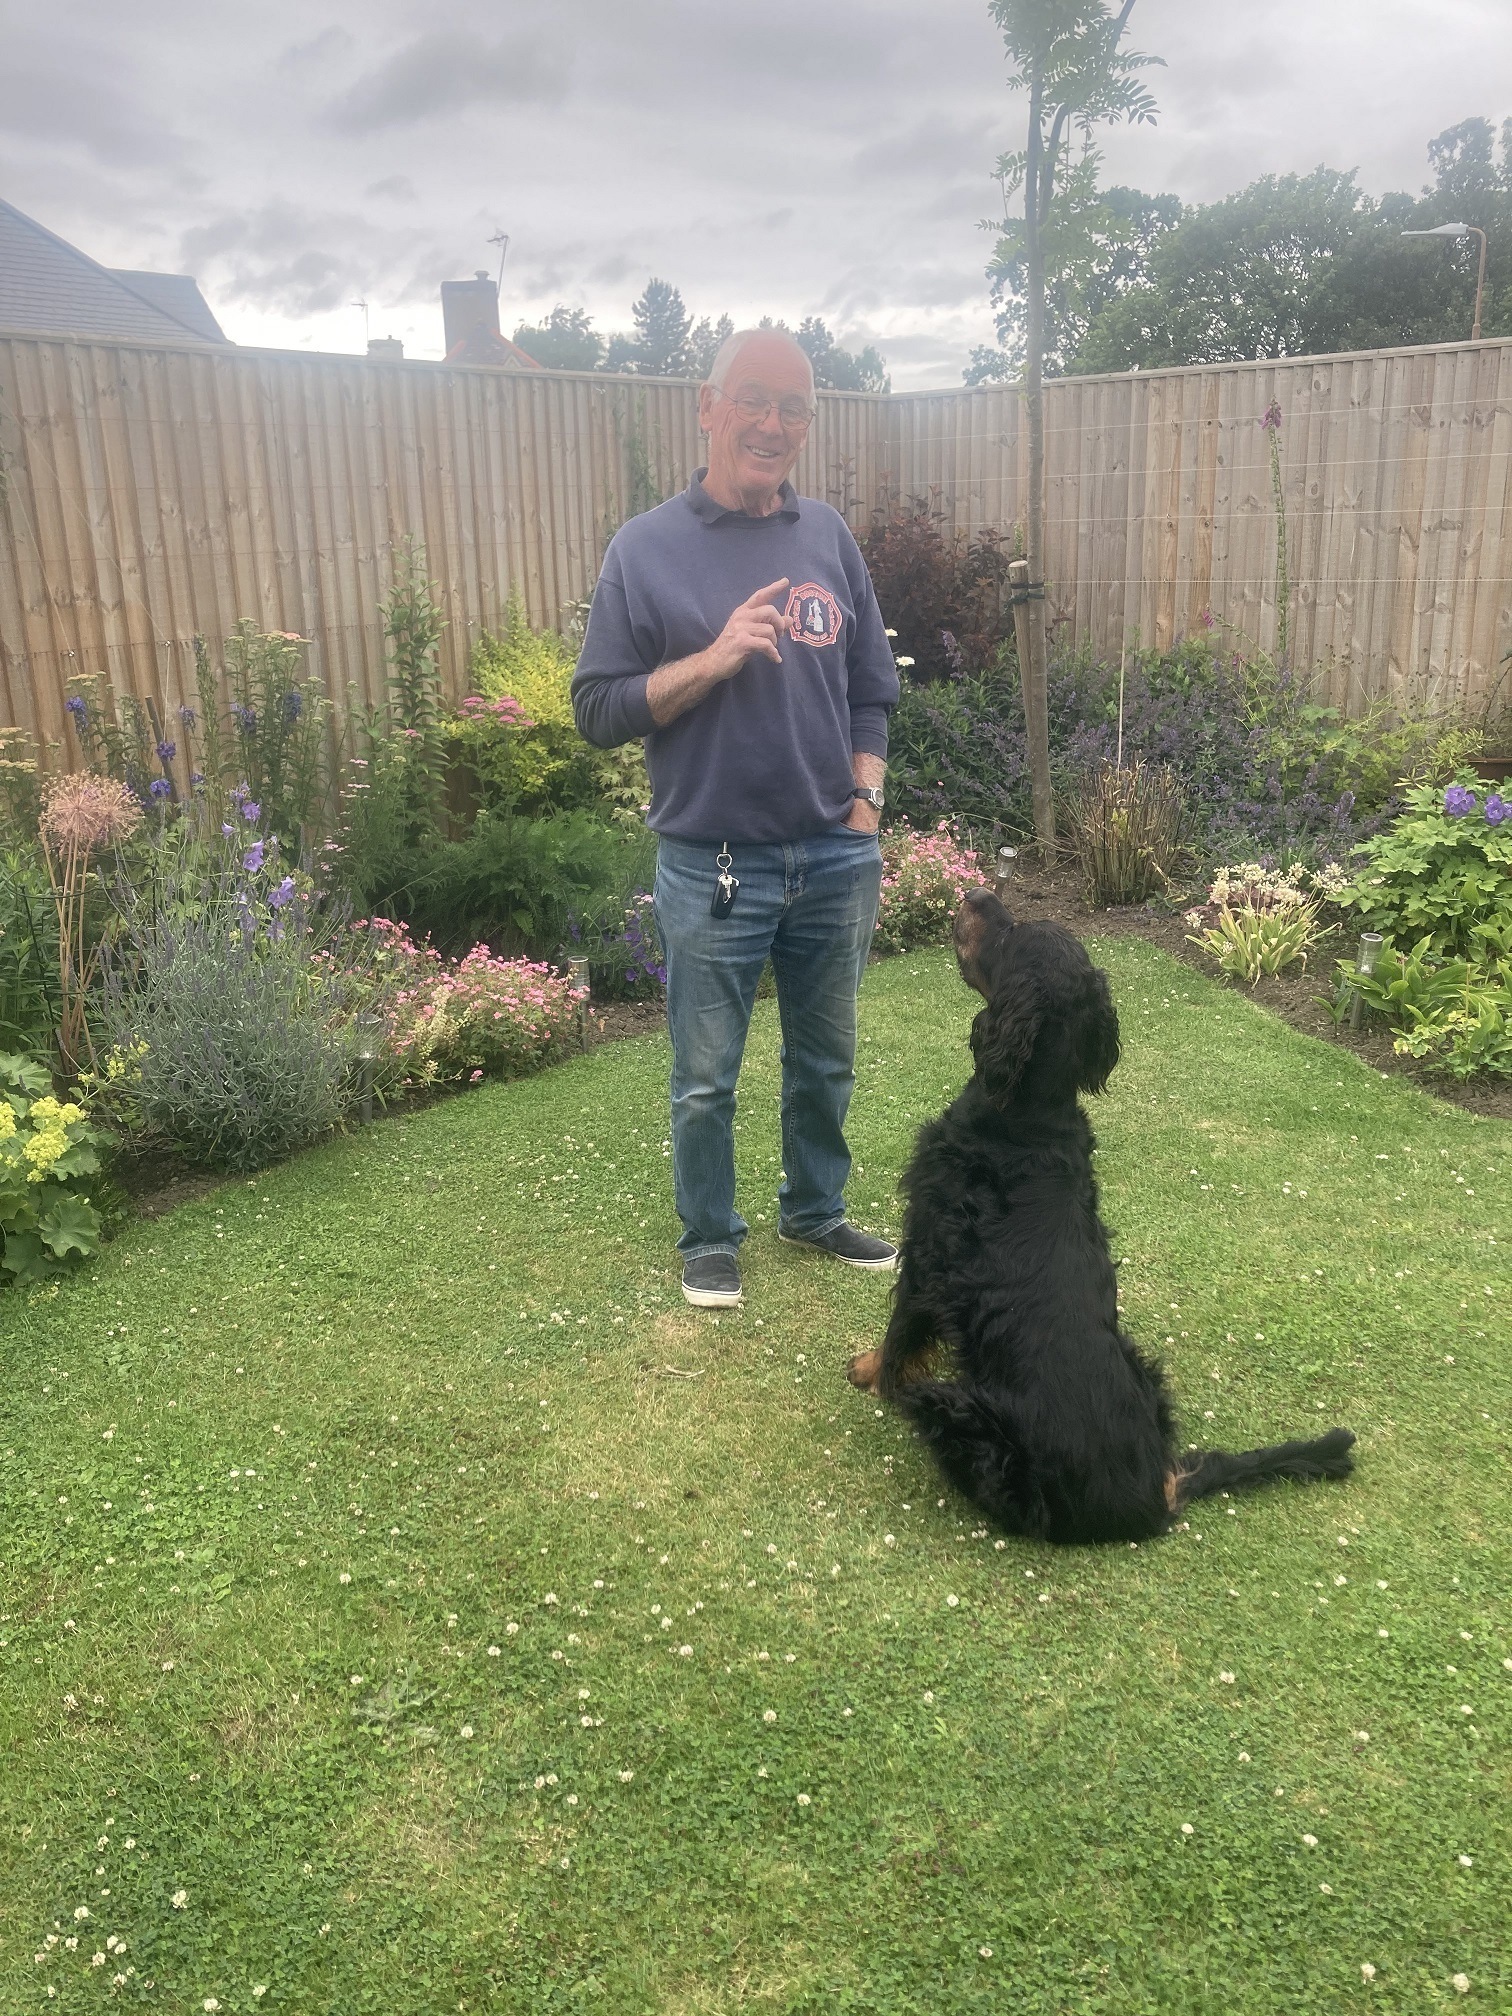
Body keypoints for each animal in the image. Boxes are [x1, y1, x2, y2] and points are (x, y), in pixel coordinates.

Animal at [854, 895, 1362, 1540]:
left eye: (1013, 933)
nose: (979, 896)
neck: (1026, 1115)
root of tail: (1156, 1496)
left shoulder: (926, 1249)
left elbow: (900, 1333)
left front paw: (870, 1372)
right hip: (1142, 1364)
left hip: (962, 1415)